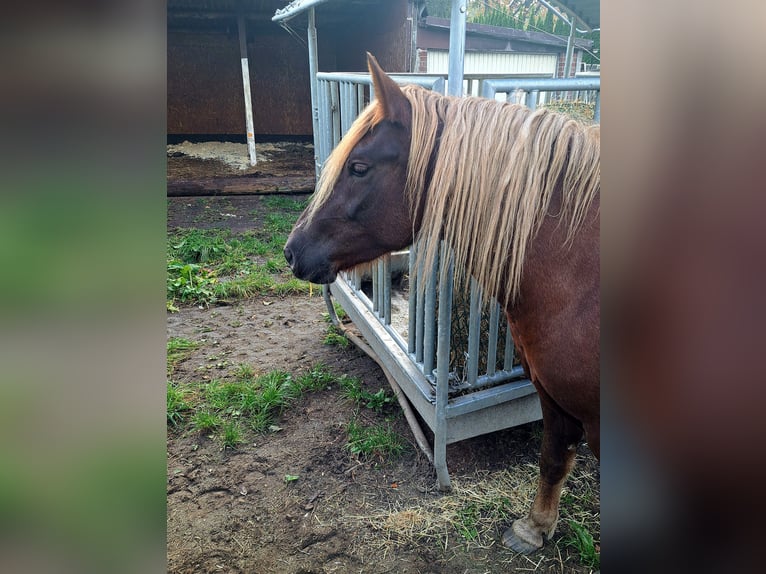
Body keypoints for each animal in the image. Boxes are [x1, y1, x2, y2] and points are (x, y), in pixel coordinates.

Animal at [284, 53, 600, 554]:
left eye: (358, 167)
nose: (292, 251)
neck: (578, 268)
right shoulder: (553, 393)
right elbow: (553, 456)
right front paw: (534, 528)